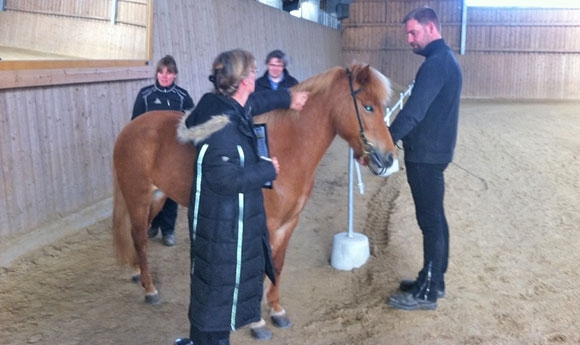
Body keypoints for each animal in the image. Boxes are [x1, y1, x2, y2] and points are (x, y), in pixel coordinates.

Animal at [112, 63, 398, 334]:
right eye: (368, 107)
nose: (389, 158)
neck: (286, 150)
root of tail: (130, 128)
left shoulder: (288, 223)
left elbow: (277, 266)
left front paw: (276, 310)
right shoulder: (266, 226)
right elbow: (259, 269)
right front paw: (257, 322)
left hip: (157, 197)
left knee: (138, 236)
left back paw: (138, 273)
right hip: (138, 197)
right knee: (140, 238)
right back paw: (150, 290)